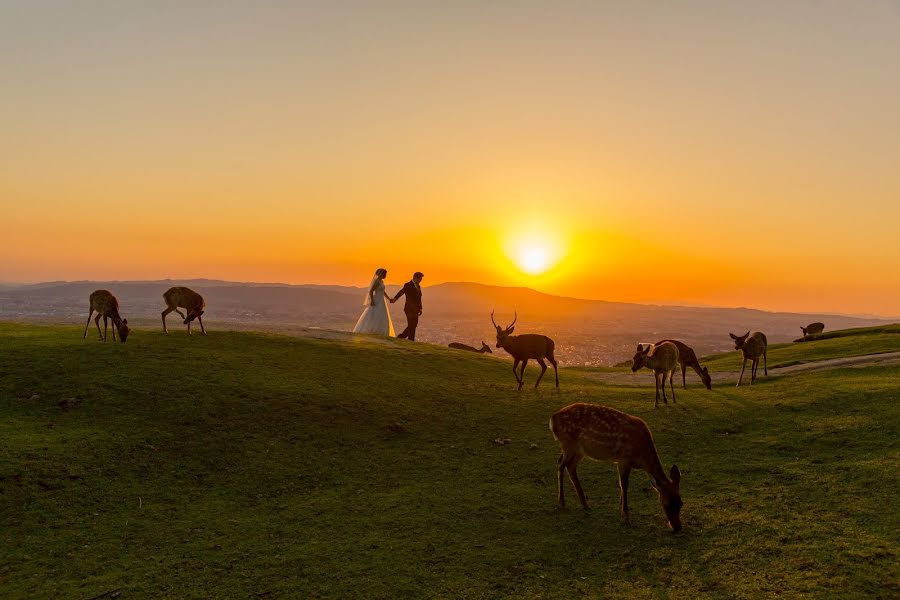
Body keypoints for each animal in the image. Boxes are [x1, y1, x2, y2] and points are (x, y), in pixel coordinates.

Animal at [548, 404, 684, 528]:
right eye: (666, 505)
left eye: (681, 503)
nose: (677, 527)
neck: (641, 455)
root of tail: (553, 419)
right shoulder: (623, 459)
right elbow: (624, 484)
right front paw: (625, 516)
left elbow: (621, 484)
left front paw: (620, 508)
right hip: (568, 443)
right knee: (561, 464)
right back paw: (562, 502)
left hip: (580, 450)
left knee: (570, 466)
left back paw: (585, 504)